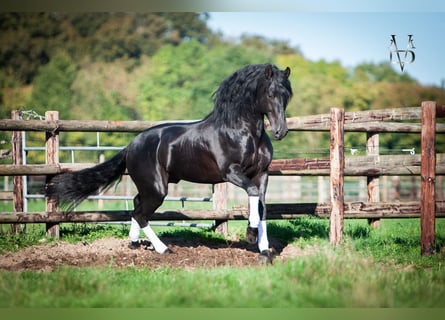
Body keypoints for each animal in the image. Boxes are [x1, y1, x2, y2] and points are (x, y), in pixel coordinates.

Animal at [46, 64, 292, 262]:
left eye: (287, 95)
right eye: (271, 93)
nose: (281, 132)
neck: (241, 131)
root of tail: (131, 145)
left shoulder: (262, 174)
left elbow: (262, 207)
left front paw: (264, 251)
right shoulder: (231, 173)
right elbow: (253, 196)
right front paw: (251, 235)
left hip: (149, 186)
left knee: (136, 205)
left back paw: (133, 243)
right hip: (157, 188)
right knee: (140, 214)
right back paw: (163, 249)